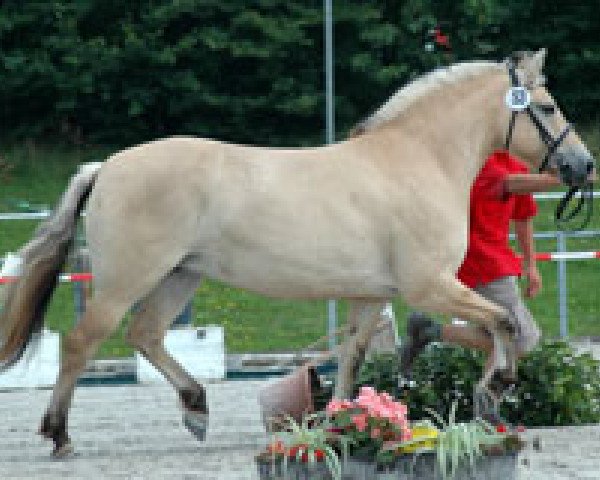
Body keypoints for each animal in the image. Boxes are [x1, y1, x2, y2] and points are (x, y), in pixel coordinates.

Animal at [0, 49, 592, 458]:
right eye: (546, 106)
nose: (583, 166)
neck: (419, 159)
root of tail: (106, 167)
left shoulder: (370, 295)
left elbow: (352, 357)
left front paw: (340, 425)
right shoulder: (431, 286)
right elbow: (503, 323)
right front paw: (497, 387)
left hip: (180, 275)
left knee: (145, 334)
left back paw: (196, 409)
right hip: (128, 279)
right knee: (81, 343)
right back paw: (60, 436)